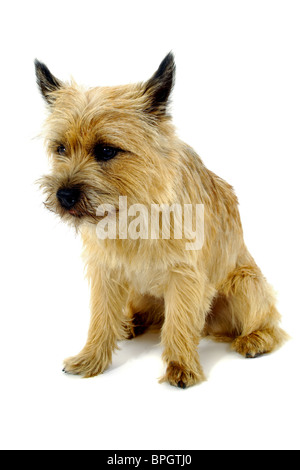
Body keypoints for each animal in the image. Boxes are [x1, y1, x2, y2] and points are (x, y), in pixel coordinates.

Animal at [35, 53, 288, 388]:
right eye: (60, 148)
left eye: (106, 150)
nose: (63, 195)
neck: (131, 212)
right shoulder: (105, 272)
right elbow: (101, 318)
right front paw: (90, 359)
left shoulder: (185, 277)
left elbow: (178, 323)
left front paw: (181, 367)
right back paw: (128, 324)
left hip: (245, 282)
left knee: (270, 324)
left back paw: (255, 339)